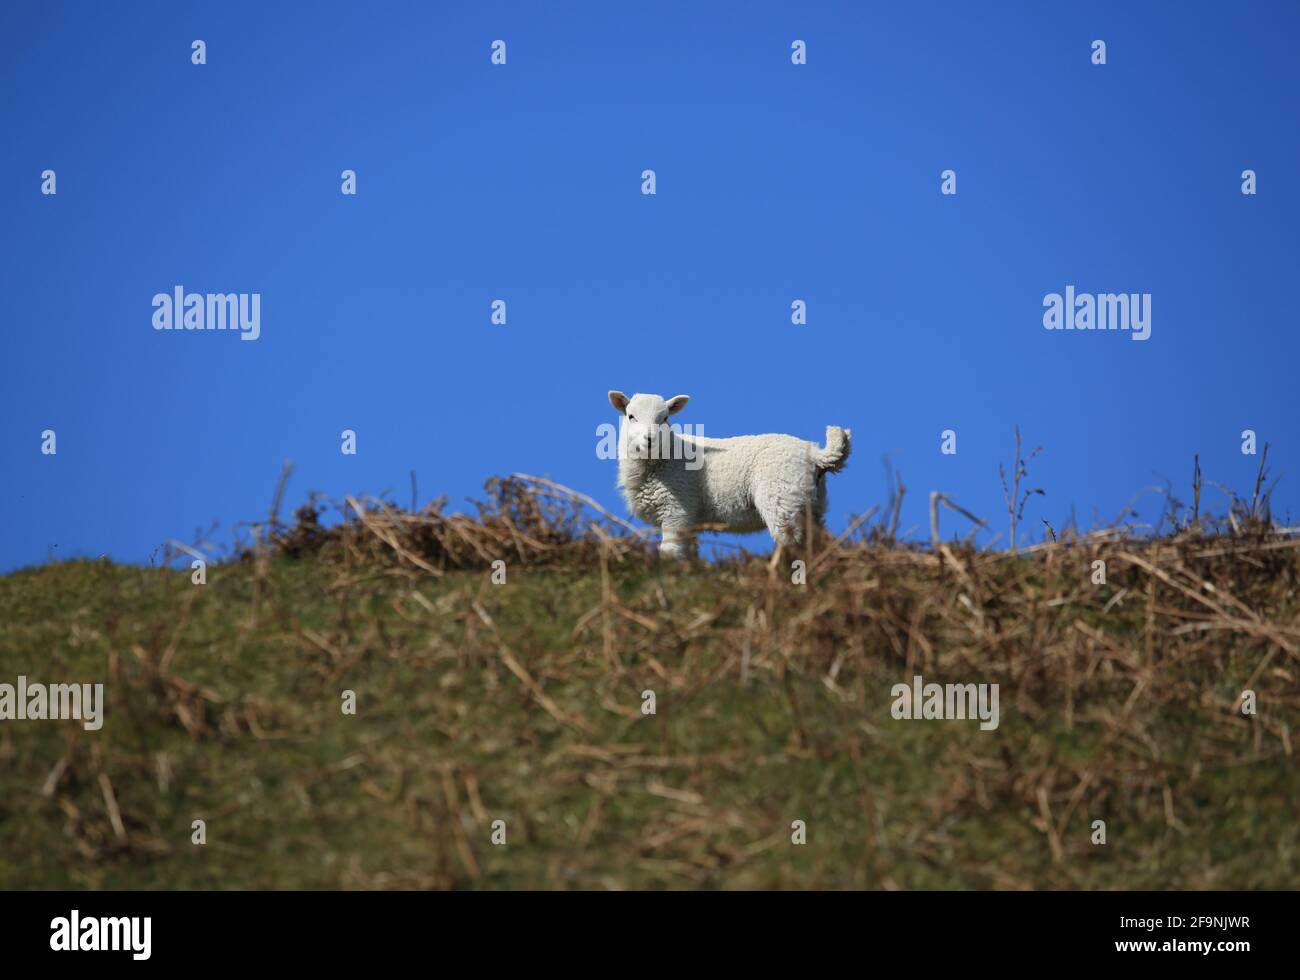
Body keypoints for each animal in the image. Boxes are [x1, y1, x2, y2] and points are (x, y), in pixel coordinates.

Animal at [608, 389, 852, 556]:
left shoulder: (676, 510)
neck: (663, 460)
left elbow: (670, 553)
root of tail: (815, 453)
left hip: (781, 498)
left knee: (792, 542)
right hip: (810, 504)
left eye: (665, 418)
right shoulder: (690, 520)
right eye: (631, 416)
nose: (650, 439)